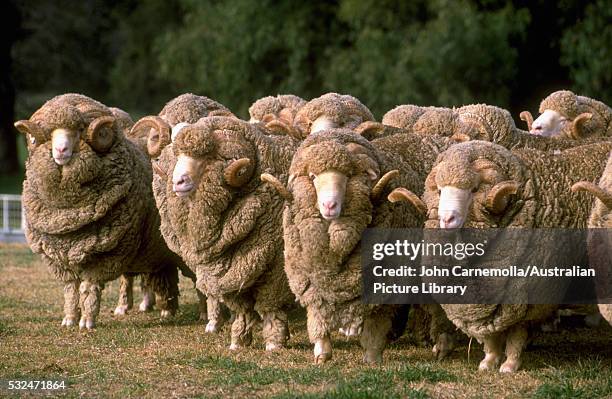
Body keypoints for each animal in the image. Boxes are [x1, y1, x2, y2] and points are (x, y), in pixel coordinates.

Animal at [15, 94, 185, 332]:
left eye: (78, 131)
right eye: (50, 134)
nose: (61, 151)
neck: (68, 217)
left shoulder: (108, 255)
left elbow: (89, 287)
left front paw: (87, 321)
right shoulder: (59, 258)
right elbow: (71, 290)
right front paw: (69, 319)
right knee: (143, 278)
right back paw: (143, 307)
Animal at [152, 115, 298, 350]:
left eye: (208, 157)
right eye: (179, 155)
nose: (177, 182)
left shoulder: (277, 269)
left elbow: (270, 306)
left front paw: (274, 342)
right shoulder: (233, 271)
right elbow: (242, 309)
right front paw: (238, 340)